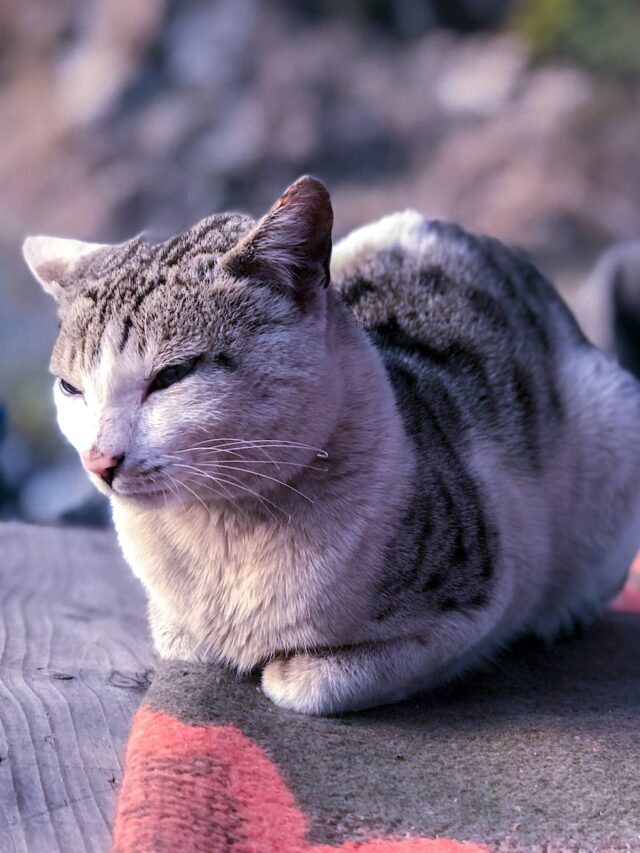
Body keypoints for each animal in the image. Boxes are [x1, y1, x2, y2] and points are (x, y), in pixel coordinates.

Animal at [21, 175, 640, 712]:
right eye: (71, 388)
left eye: (172, 376)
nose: (99, 460)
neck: (226, 532)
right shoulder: (177, 628)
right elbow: (184, 644)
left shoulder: (483, 592)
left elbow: (316, 683)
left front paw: (290, 668)